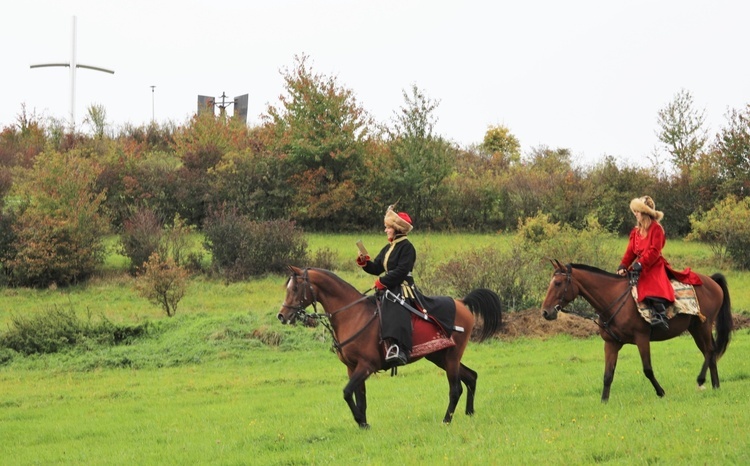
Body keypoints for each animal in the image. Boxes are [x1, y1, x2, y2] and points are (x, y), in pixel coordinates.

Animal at [280, 266, 502, 430]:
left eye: (295, 288)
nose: (282, 316)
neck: (353, 314)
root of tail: (462, 303)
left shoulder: (366, 366)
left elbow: (347, 392)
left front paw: (360, 421)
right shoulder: (353, 368)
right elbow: (360, 397)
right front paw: (364, 424)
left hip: (452, 357)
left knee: (455, 389)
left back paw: (446, 420)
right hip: (440, 357)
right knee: (471, 377)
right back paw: (470, 413)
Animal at [544, 260, 732, 402]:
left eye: (558, 283)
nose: (545, 312)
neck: (614, 300)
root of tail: (711, 281)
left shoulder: (642, 338)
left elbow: (647, 369)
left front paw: (661, 392)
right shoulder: (611, 343)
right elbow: (608, 374)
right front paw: (604, 401)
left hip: (704, 326)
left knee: (710, 351)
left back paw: (701, 380)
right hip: (695, 328)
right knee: (709, 353)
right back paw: (715, 386)